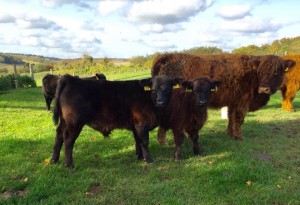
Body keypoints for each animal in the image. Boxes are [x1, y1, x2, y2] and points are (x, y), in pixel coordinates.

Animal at [51, 74, 180, 167]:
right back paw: (69, 164)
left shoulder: (135, 124)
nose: (160, 102)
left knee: (59, 135)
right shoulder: (141, 123)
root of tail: (71, 79)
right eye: (153, 90)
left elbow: (137, 140)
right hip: (74, 122)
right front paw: (148, 160)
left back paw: (54, 160)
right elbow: (144, 141)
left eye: (168, 89)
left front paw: (139, 156)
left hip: (64, 121)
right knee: (68, 139)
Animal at [152, 52, 296, 140]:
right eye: (260, 72)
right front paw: (239, 136)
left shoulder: (233, 102)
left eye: (277, 72)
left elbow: (230, 118)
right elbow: (239, 119)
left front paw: (230, 133)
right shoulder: (242, 102)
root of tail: (165, 56)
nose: (264, 89)